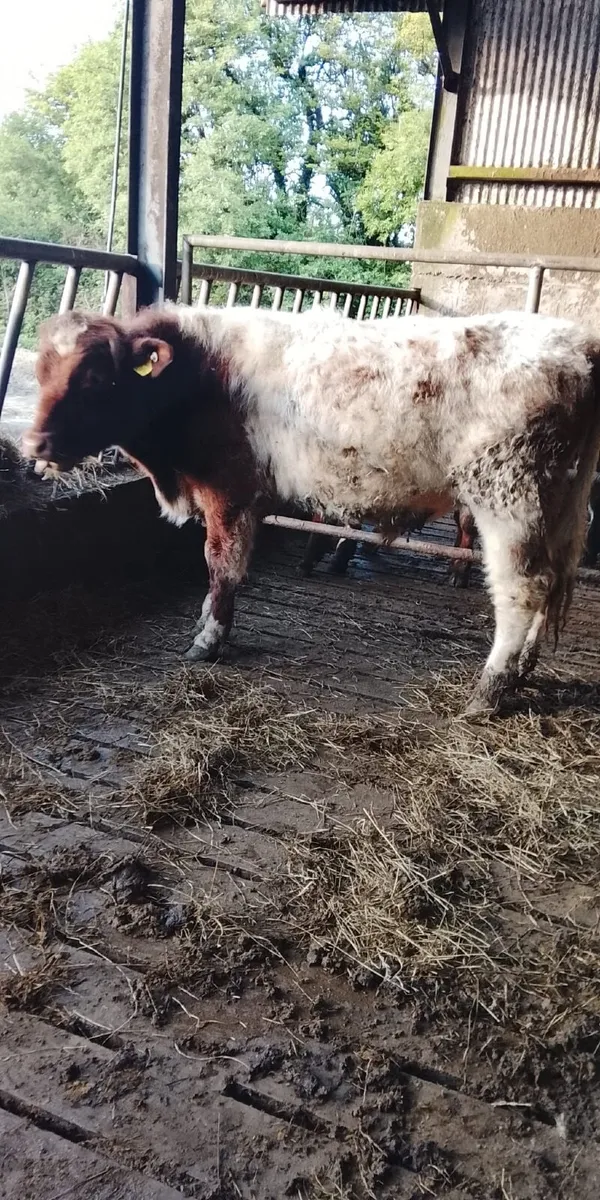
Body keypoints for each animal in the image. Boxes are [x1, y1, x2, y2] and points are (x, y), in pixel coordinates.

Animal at [24, 305, 600, 715]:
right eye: (42, 371)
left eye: (96, 377)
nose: (34, 444)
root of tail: (576, 344)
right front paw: (207, 623)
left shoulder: (229, 491)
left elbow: (221, 566)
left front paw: (209, 639)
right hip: (555, 507)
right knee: (551, 583)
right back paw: (521, 673)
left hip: (508, 497)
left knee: (521, 590)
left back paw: (489, 691)